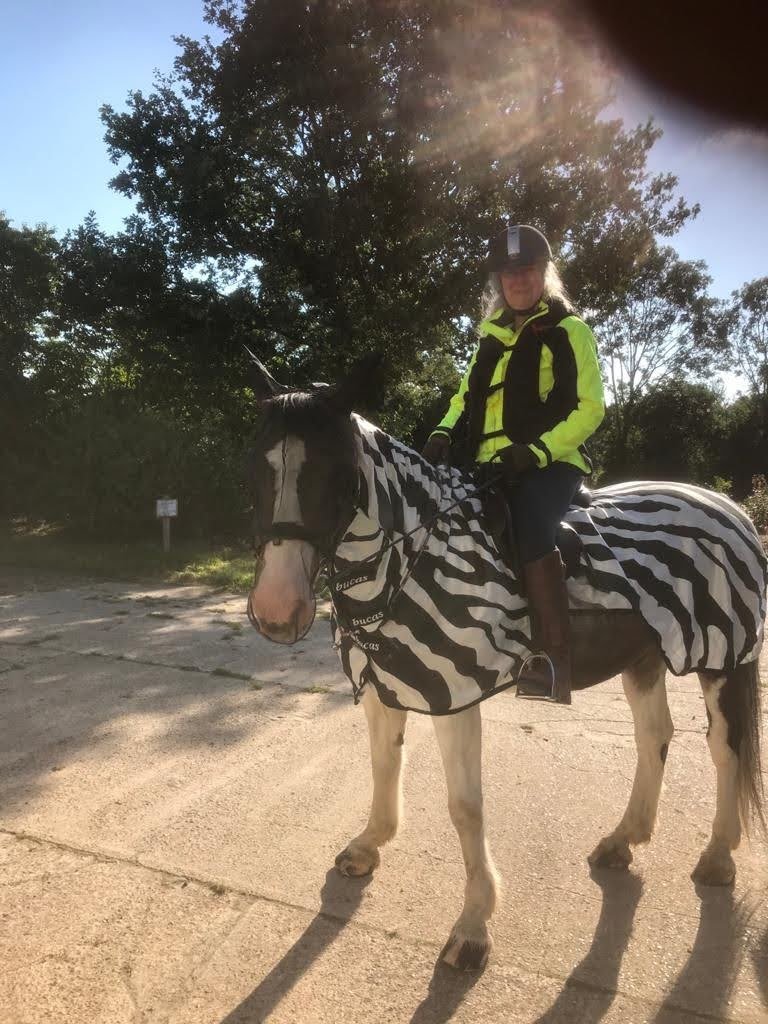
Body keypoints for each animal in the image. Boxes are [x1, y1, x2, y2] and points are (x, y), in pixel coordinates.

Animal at [244, 358, 766, 971]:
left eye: (336, 470)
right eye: (258, 465)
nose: (277, 610)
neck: (415, 557)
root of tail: (730, 510)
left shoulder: (452, 695)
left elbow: (465, 807)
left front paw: (473, 926)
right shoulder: (384, 687)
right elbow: (383, 767)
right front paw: (369, 845)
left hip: (722, 658)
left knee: (725, 749)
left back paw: (718, 856)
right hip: (643, 659)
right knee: (654, 736)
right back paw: (623, 840)